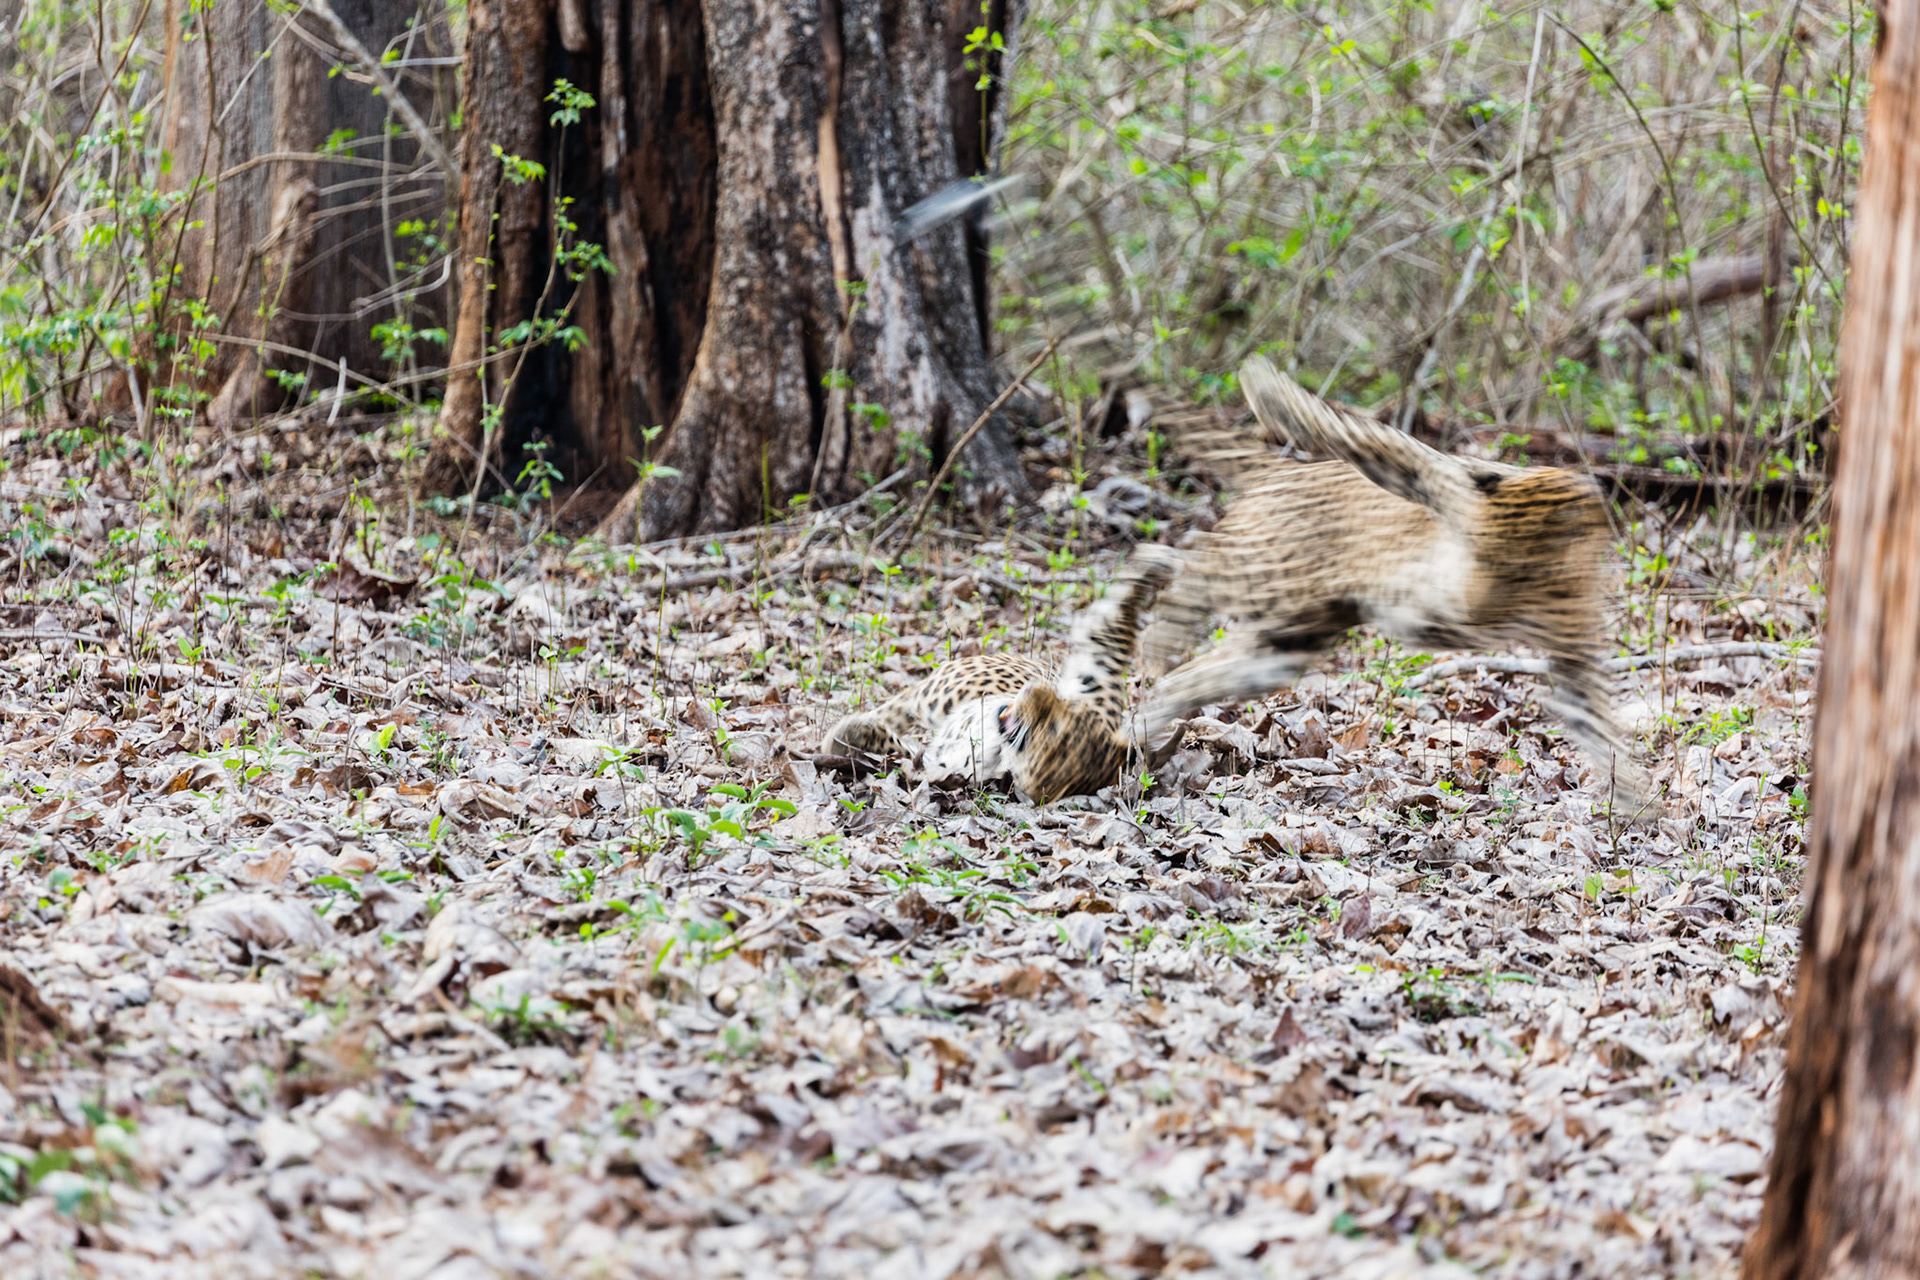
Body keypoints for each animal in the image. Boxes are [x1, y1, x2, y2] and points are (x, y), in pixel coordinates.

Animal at [822, 547, 1176, 803]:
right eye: (1068, 707)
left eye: (1052, 729)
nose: (1036, 689)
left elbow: (903, 750)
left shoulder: (941, 765)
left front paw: (846, 737)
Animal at [1139, 355, 1650, 812]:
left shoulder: (1572, 658)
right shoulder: (1455, 502)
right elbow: (1387, 446)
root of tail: (1277, 470)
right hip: (1261, 576)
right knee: (1192, 568)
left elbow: (1599, 727)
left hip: (1285, 640)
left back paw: (1143, 723)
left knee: (1191, 672)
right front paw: (1271, 390)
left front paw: (1637, 805)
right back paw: (1149, 637)